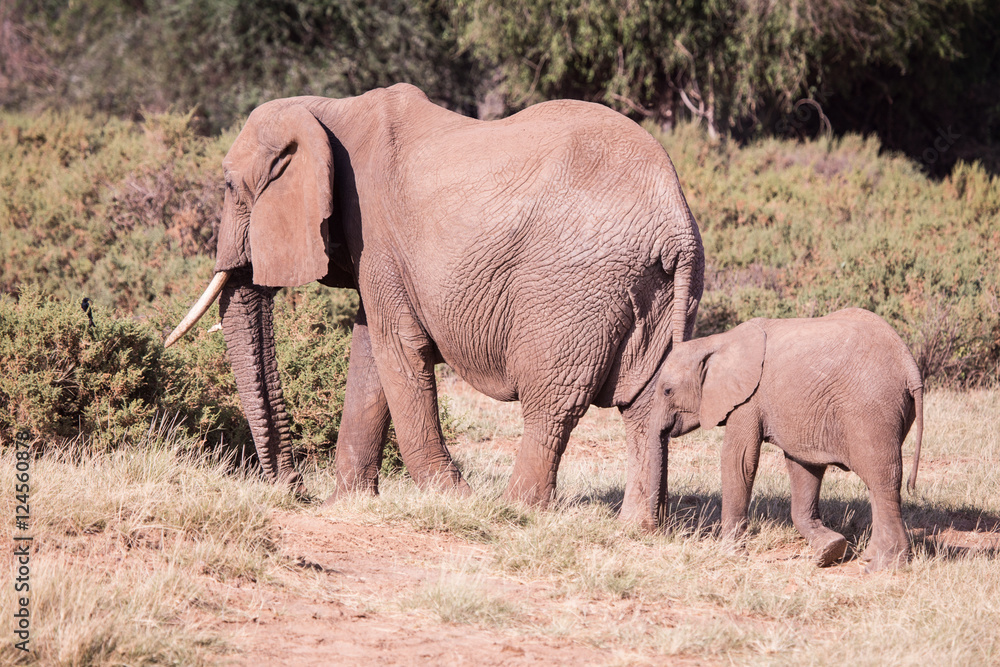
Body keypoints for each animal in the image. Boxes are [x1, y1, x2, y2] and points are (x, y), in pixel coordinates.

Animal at [165, 83, 705, 526]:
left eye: (230, 186)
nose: (292, 489)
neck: (328, 110)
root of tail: (674, 221)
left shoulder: (376, 231)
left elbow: (398, 350)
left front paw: (453, 500)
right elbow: (371, 352)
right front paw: (348, 504)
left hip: (573, 290)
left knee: (552, 403)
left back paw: (514, 512)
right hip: (656, 293)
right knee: (645, 406)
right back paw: (637, 528)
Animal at [647, 308, 924, 571]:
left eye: (667, 391)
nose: (659, 529)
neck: (717, 342)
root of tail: (909, 365)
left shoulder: (748, 399)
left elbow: (739, 460)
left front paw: (731, 555)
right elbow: (803, 467)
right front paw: (830, 550)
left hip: (871, 409)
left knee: (883, 479)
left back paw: (882, 566)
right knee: (876, 482)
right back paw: (870, 557)